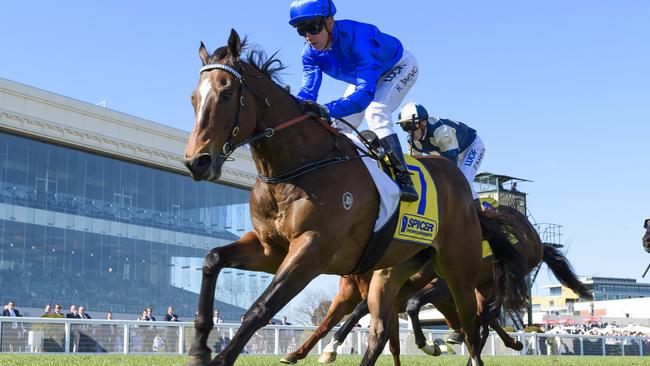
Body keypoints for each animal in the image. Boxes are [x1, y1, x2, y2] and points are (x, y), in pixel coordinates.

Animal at [184, 29, 528, 366]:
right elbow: (213, 259)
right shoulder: (271, 248)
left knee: (472, 329)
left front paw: (220, 357)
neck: (297, 166)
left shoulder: (312, 249)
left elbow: (261, 308)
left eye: (226, 94)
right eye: (193, 98)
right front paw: (200, 346)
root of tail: (467, 195)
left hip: (458, 272)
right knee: (381, 330)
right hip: (391, 274)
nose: (197, 161)